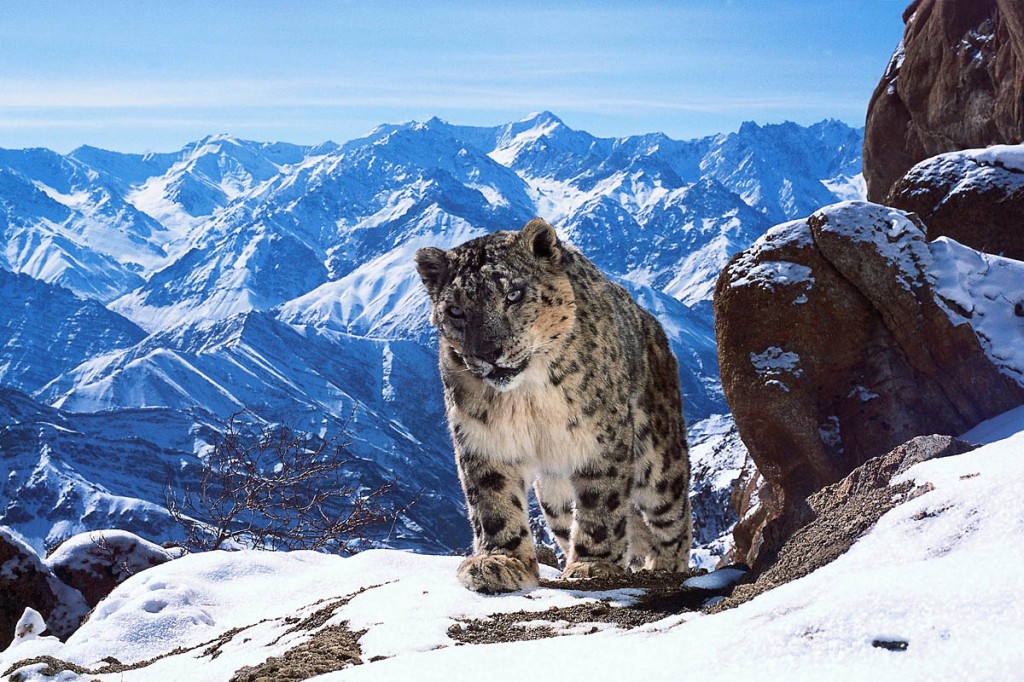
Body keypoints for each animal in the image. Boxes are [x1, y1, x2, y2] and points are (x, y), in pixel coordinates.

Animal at [415, 218, 691, 593]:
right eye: (455, 311)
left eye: (513, 294)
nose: (488, 352)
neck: (527, 397)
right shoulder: (483, 440)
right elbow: (493, 503)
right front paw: (501, 562)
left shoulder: (599, 439)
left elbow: (601, 502)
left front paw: (591, 566)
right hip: (554, 498)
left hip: (659, 457)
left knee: (672, 516)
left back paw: (664, 566)